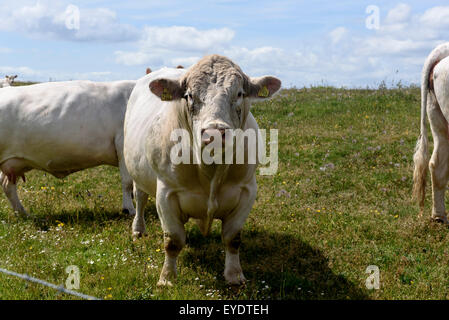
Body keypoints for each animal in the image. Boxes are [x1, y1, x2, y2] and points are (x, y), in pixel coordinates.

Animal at [0, 80, 136, 216]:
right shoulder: (122, 146)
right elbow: (128, 182)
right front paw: (129, 209)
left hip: (15, 163)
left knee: (7, 185)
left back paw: (23, 213)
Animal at [122, 53, 280, 286]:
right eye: (189, 95)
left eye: (239, 93)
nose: (214, 132)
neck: (211, 169)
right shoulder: (166, 193)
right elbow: (173, 240)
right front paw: (167, 278)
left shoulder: (247, 190)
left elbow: (233, 238)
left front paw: (234, 275)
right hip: (138, 174)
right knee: (140, 200)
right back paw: (138, 230)